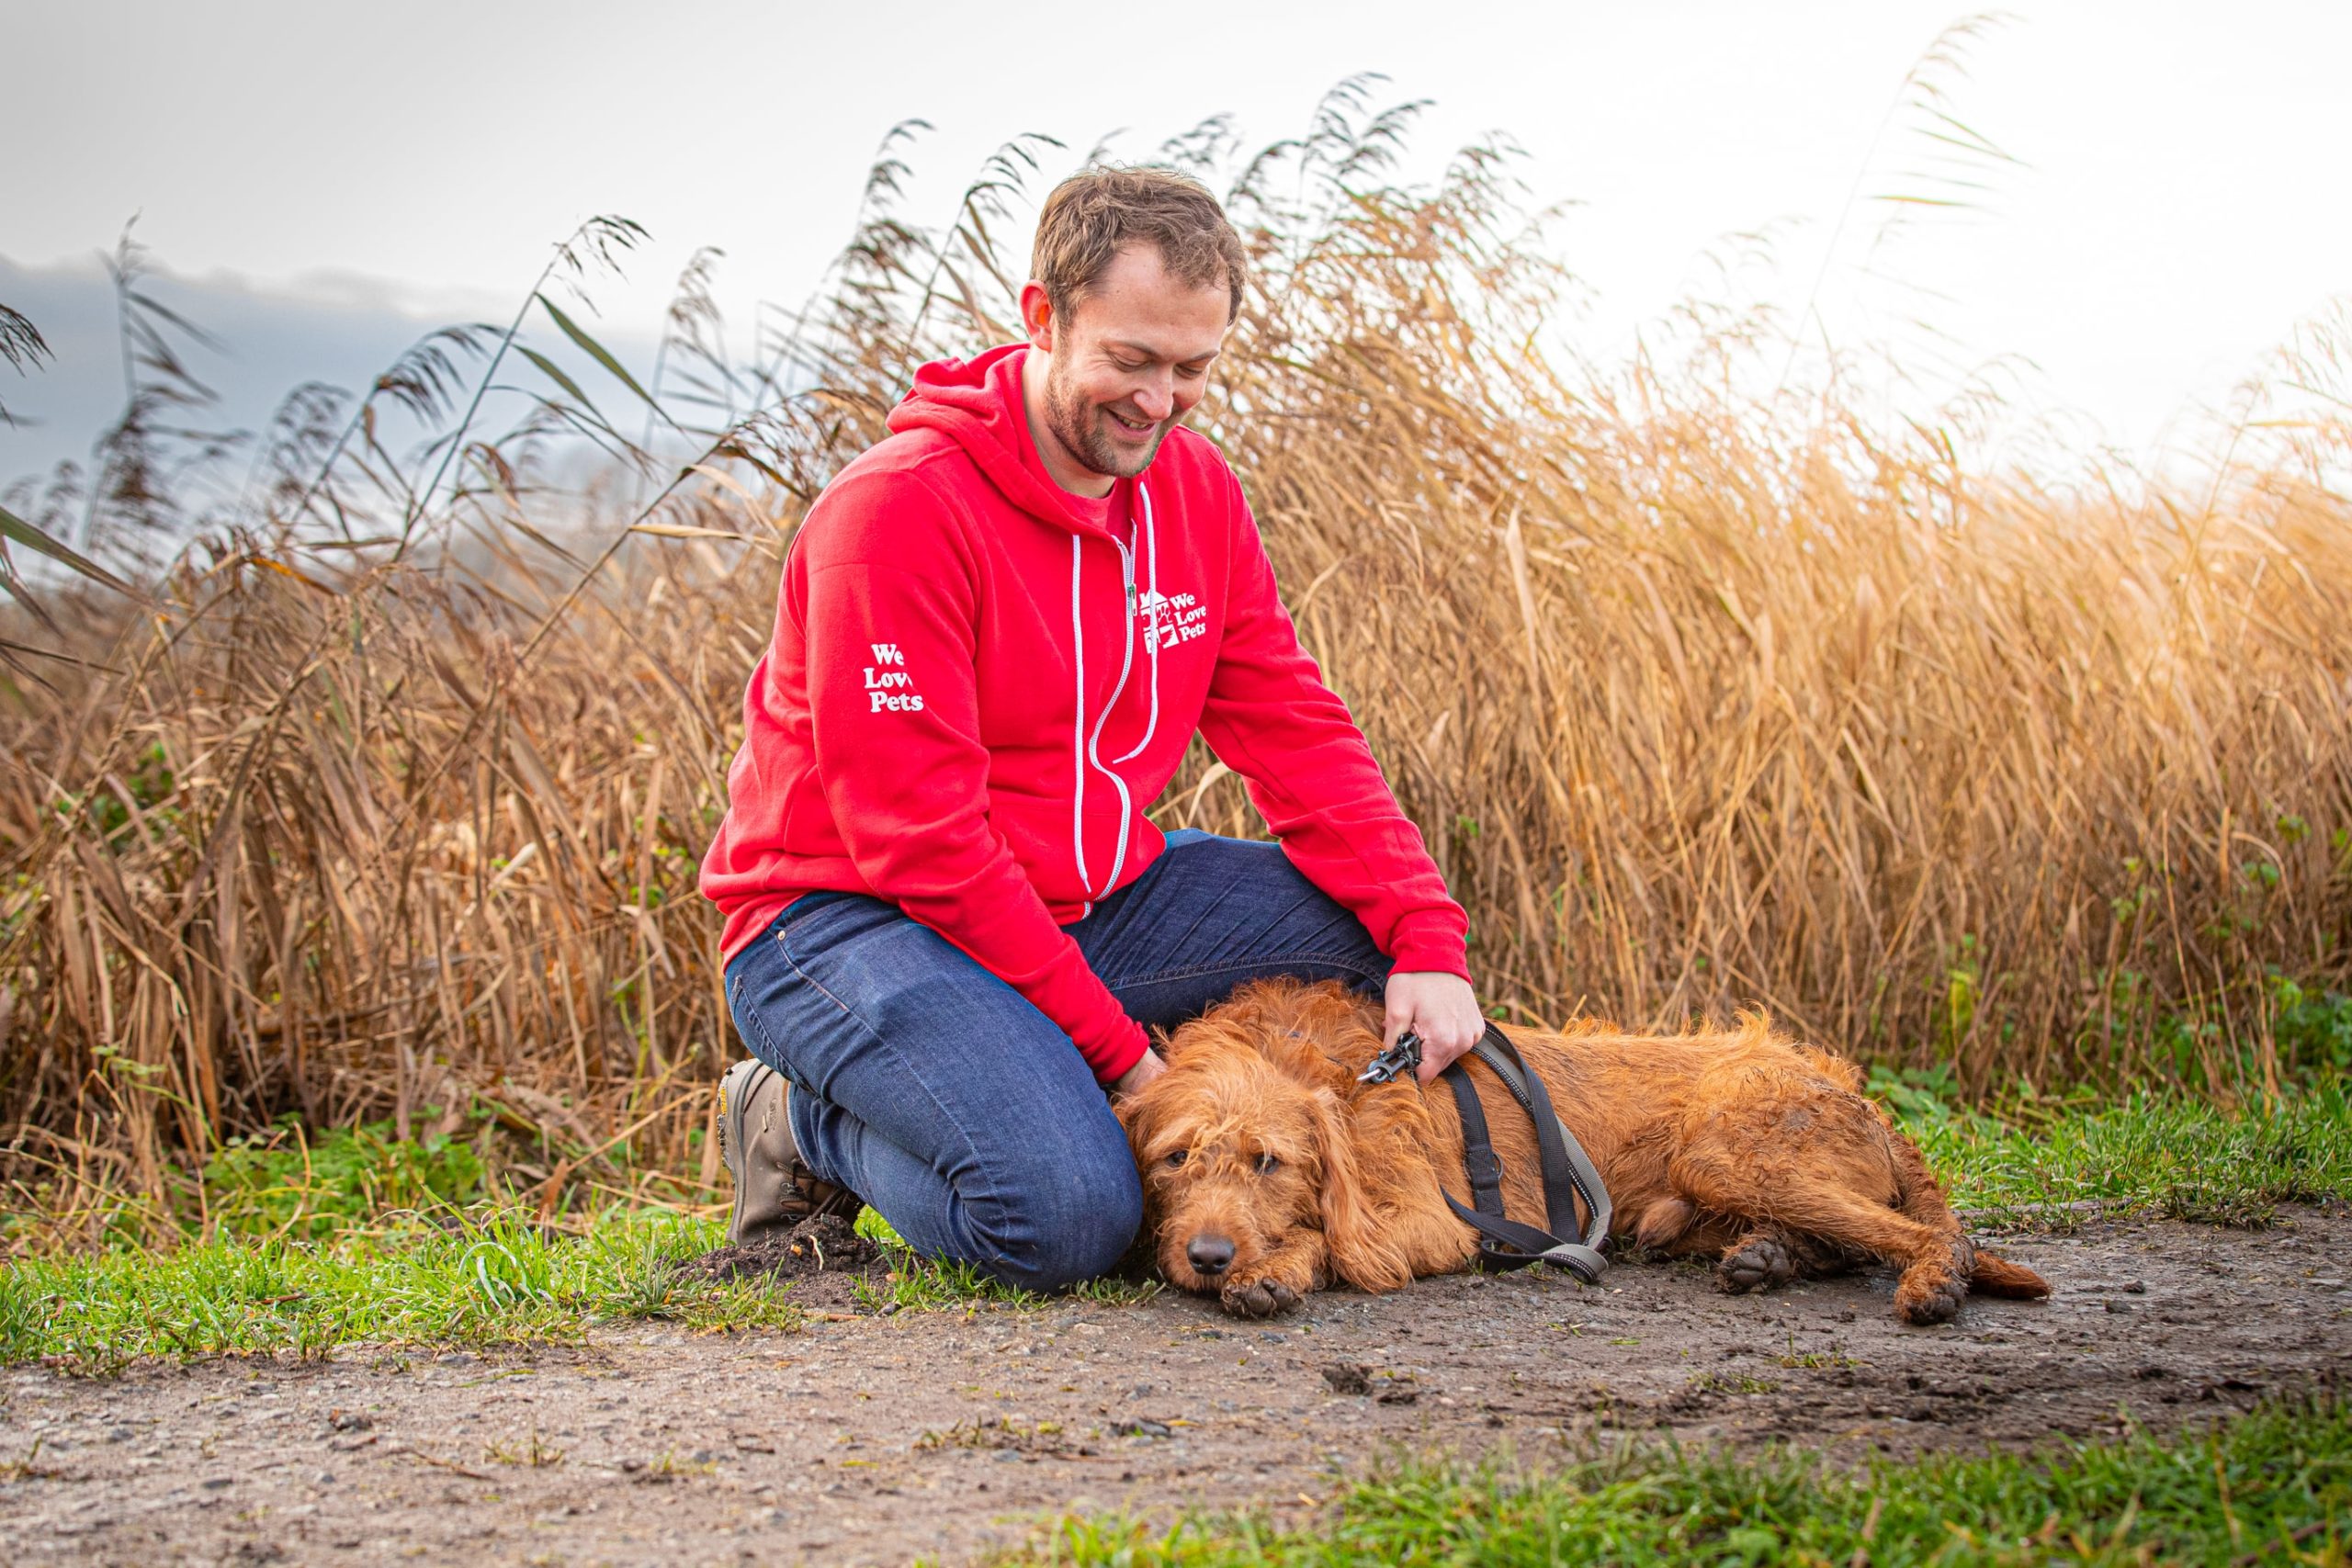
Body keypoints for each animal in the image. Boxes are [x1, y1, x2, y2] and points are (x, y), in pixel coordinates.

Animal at [1110, 982, 2051, 1325]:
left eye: (1267, 1162)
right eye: (1174, 1159)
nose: (1208, 1256)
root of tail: (1850, 1086)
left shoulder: (1432, 1221)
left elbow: (1339, 1241)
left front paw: (1276, 1266)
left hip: (1725, 1147)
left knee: (1930, 1232)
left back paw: (1931, 1280)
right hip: (1693, 1197)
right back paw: (1770, 1254)